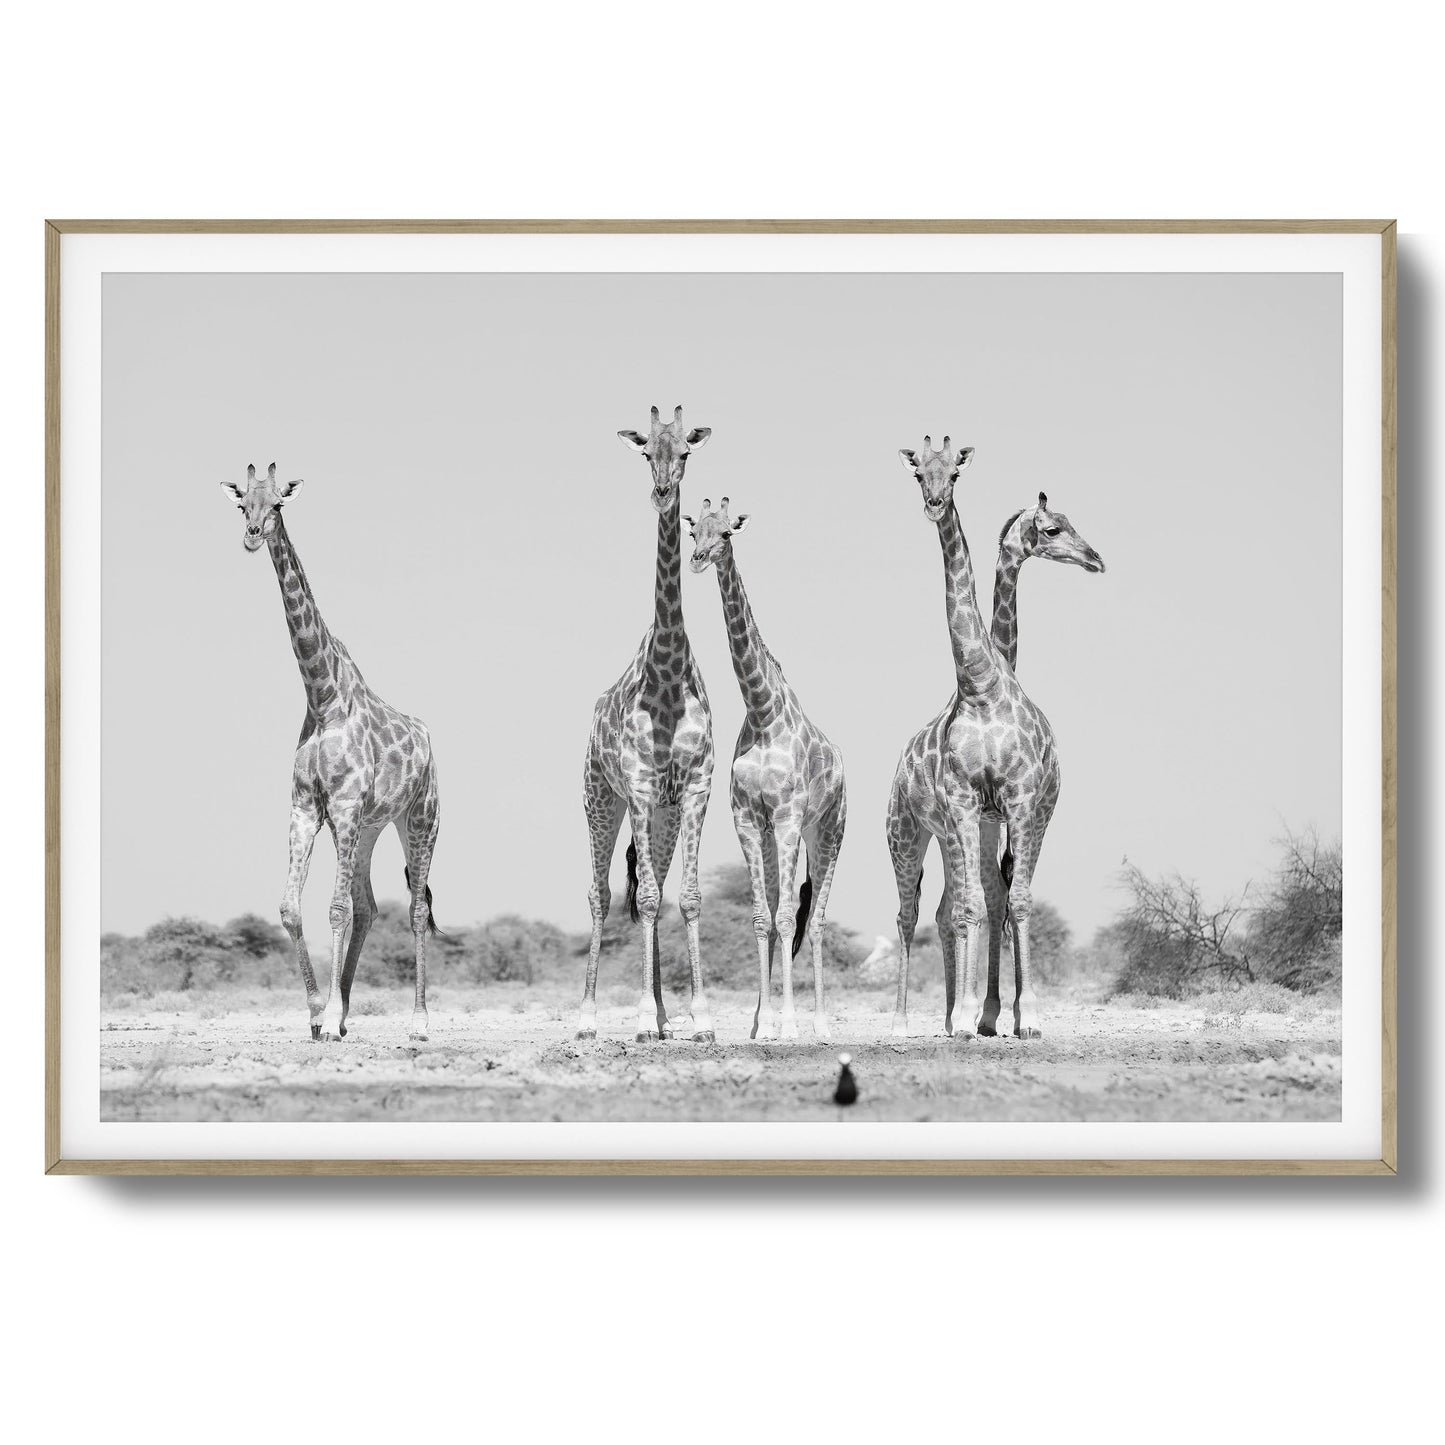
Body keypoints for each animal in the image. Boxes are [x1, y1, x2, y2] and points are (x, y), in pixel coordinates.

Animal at [220, 463, 442, 1043]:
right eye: (242, 504)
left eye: (278, 503)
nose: (252, 535)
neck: (322, 699)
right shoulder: (306, 807)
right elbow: (291, 909)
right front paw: (321, 1013)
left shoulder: (341, 807)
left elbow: (335, 909)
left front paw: (332, 1013)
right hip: (369, 829)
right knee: (370, 906)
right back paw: (344, 1015)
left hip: (419, 819)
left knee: (414, 908)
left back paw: (419, 1021)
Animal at [685, 498, 848, 1042]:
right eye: (693, 529)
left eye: (726, 533)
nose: (697, 558)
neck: (761, 711)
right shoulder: (746, 818)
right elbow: (761, 917)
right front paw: (761, 1024)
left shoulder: (788, 815)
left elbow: (786, 919)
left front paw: (790, 1025)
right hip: (785, 834)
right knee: (786, 913)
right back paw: (771, 1020)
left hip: (827, 831)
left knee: (814, 920)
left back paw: (820, 1023)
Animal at [884, 438, 1068, 1041]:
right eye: (919, 472)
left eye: (956, 472)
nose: (935, 502)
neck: (983, 685)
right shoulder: (968, 804)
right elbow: (977, 907)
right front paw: (974, 1016)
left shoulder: (1014, 804)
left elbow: (1007, 901)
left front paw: (1015, 1016)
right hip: (906, 832)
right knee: (913, 911)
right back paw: (908, 1021)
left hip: (967, 830)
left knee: (963, 905)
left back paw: (959, 1013)